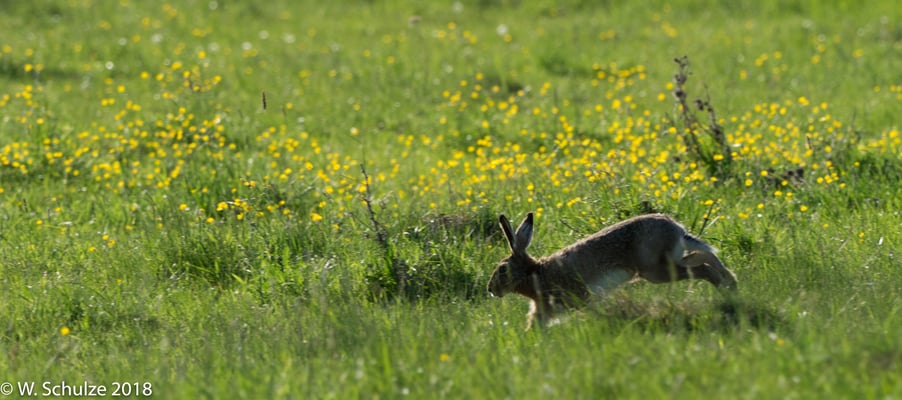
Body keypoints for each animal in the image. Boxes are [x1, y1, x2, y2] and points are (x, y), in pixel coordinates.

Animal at [487, 212, 738, 330]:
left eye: (502, 270)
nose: (491, 289)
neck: (535, 273)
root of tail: (677, 229)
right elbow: (536, 323)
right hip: (668, 261)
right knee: (704, 257)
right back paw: (731, 283)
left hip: (656, 271)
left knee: (702, 268)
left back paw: (726, 288)